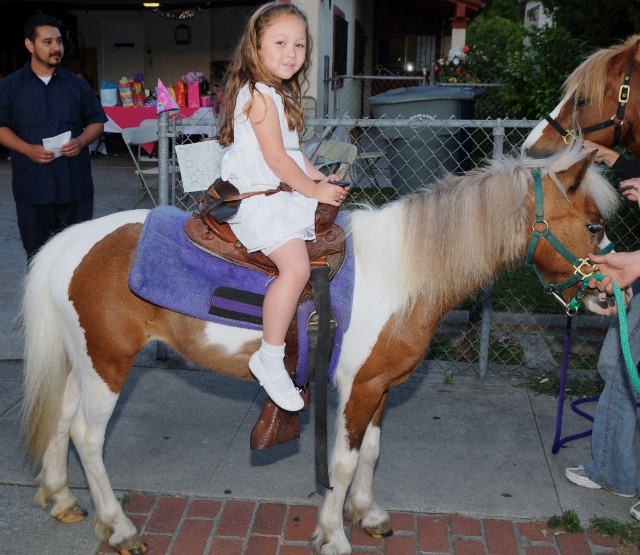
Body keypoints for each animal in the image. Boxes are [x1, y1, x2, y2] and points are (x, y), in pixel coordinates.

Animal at [20, 145, 618, 555]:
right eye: (593, 225)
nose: (612, 295)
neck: (402, 272)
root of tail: (70, 243)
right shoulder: (357, 388)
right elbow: (344, 461)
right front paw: (333, 534)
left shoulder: (379, 388)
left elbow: (370, 454)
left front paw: (368, 515)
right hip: (108, 365)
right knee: (86, 436)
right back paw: (119, 527)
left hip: (83, 362)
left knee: (61, 422)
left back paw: (63, 500)